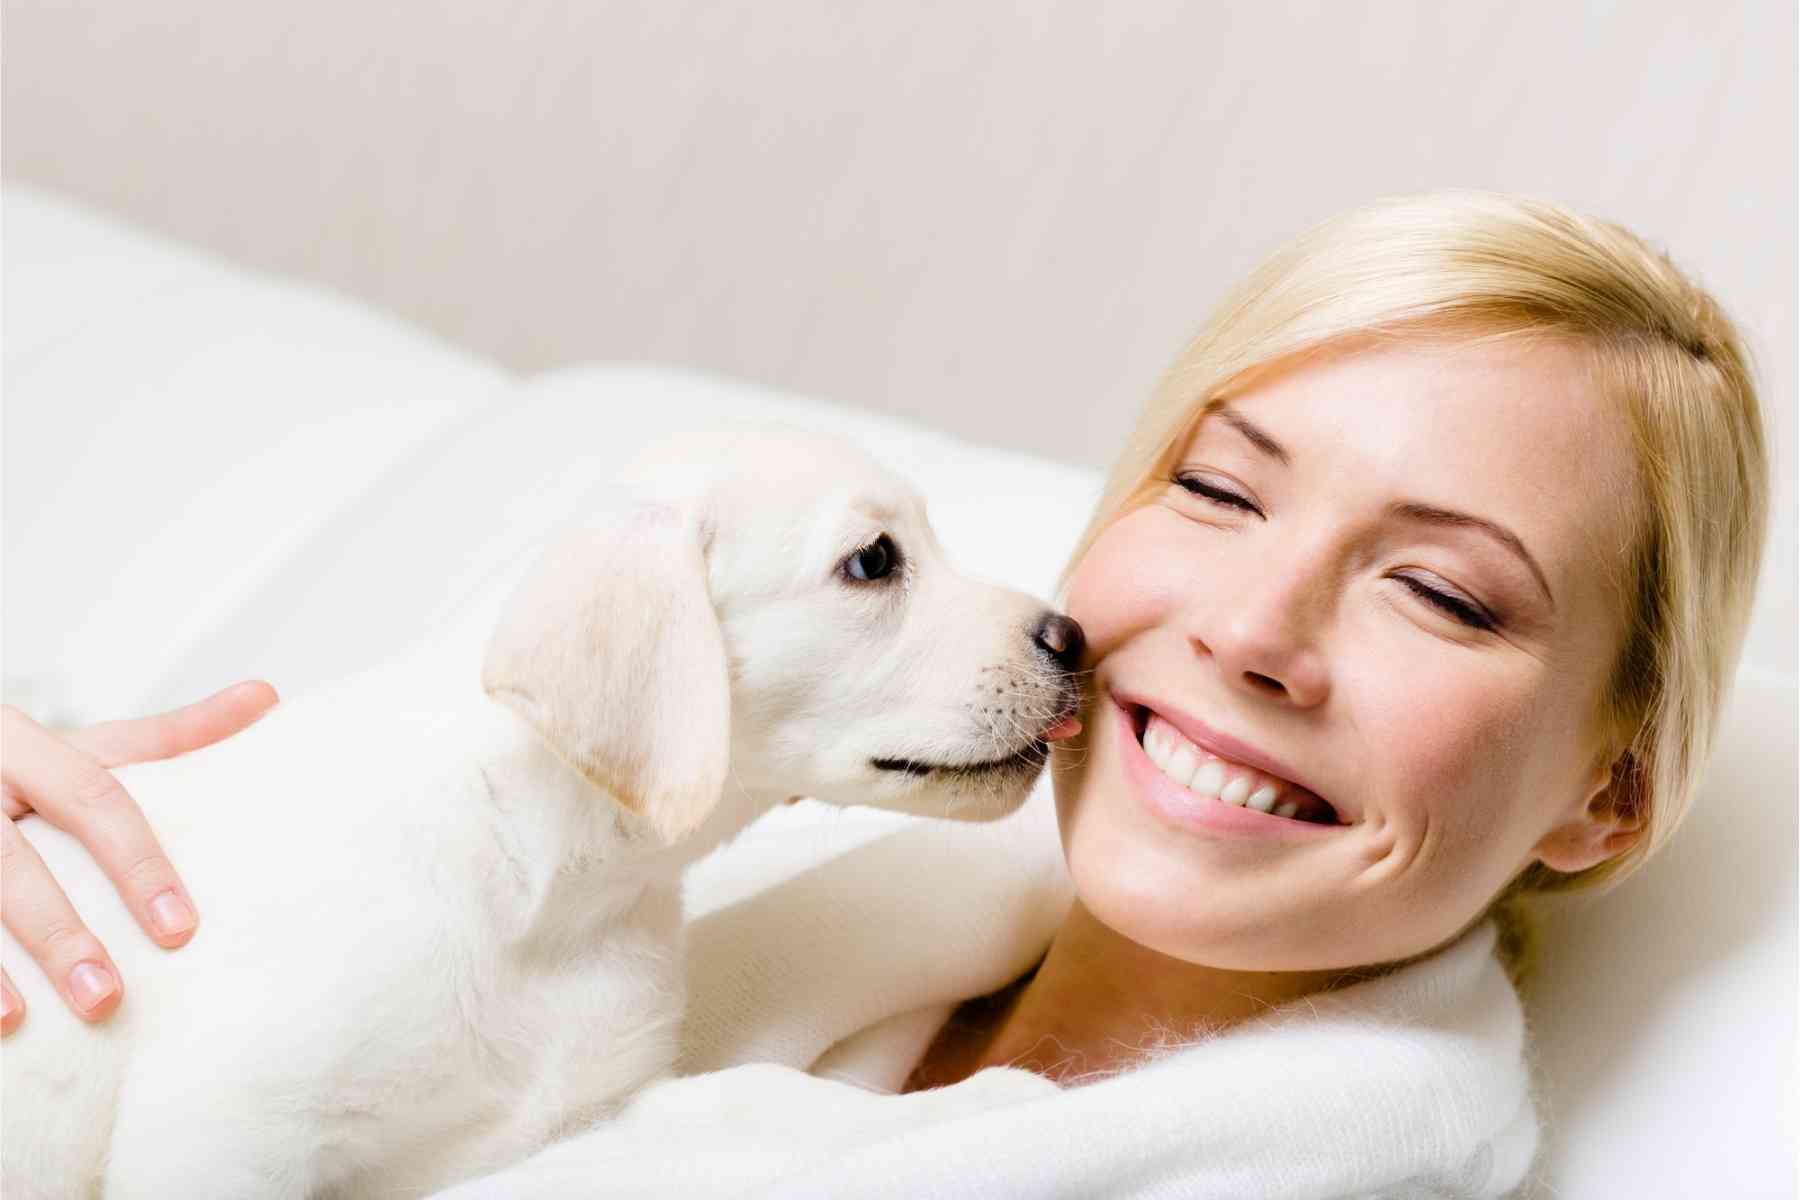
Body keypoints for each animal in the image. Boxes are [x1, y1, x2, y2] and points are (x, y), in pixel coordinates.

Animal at [0, 431, 1080, 1200]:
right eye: (873, 562)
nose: (1072, 637)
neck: (545, 887)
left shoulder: (541, 1131)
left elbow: (762, 1100)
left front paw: (991, 1103)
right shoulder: (221, 1128)